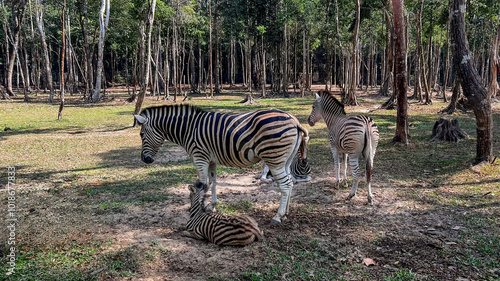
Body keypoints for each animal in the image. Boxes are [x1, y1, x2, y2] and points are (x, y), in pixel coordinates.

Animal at [134, 103, 308, 223]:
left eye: (141, 134)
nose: (144, 160)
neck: (189, 129)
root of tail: (294, 121)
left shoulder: (199, 157)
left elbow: (203, 184)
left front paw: (200, 208)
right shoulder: (211, 160)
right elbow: (213, 182)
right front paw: (212, 205)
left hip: (274, 159)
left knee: (285, 185)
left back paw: (277, 216)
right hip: (286, 160)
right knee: (290, 182)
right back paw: (286, 213)